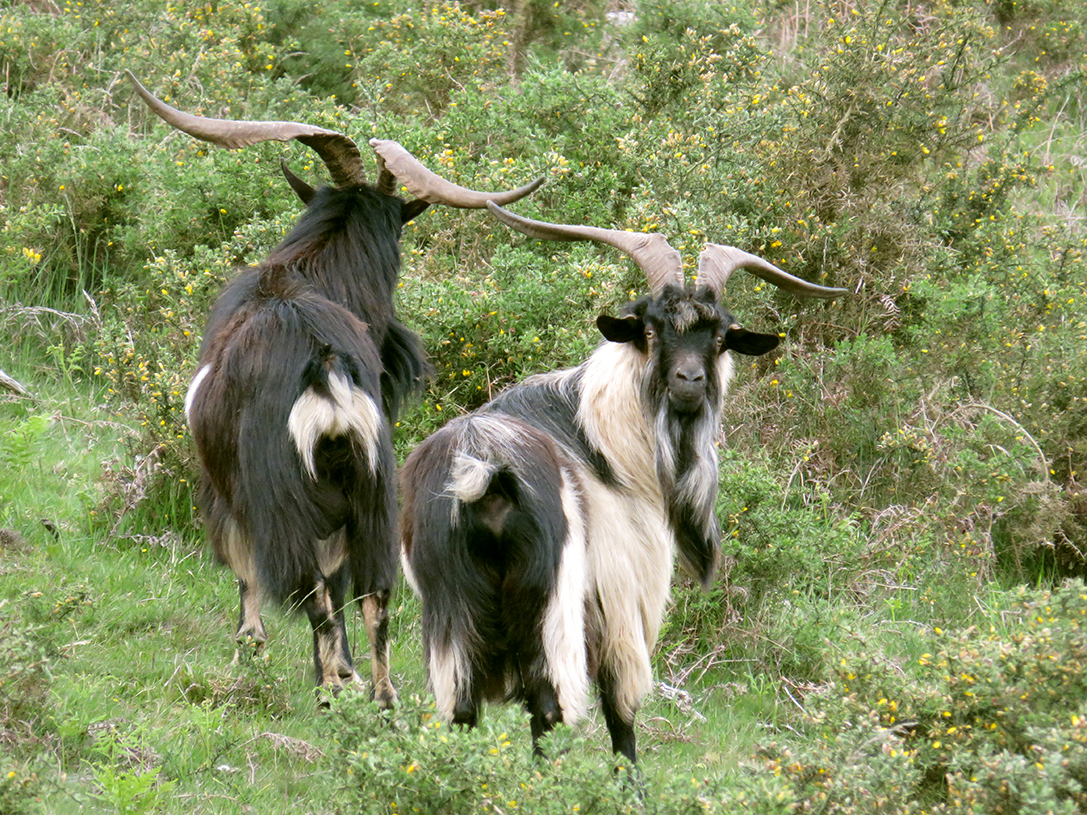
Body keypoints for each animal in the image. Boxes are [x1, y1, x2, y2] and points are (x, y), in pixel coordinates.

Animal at [126, 72, 541, 703]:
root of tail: (322, 365)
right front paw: (345, 668)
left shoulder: (227, 490)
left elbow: (246, 568)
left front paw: (253, 643)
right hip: (375, 491)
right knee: (373, 592)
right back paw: (380, 696)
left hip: (284, 496)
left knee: (312, 591)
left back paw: (328, 689)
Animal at [399, 203, 847, 758]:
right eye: (651, 332)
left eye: (721, 339)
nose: (690, 382)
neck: (600, 438)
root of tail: (483, 474)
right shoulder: (626, 597)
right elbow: (623, 717)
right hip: (553, 608)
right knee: (549, 708)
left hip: (451, 611)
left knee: (463, 712)